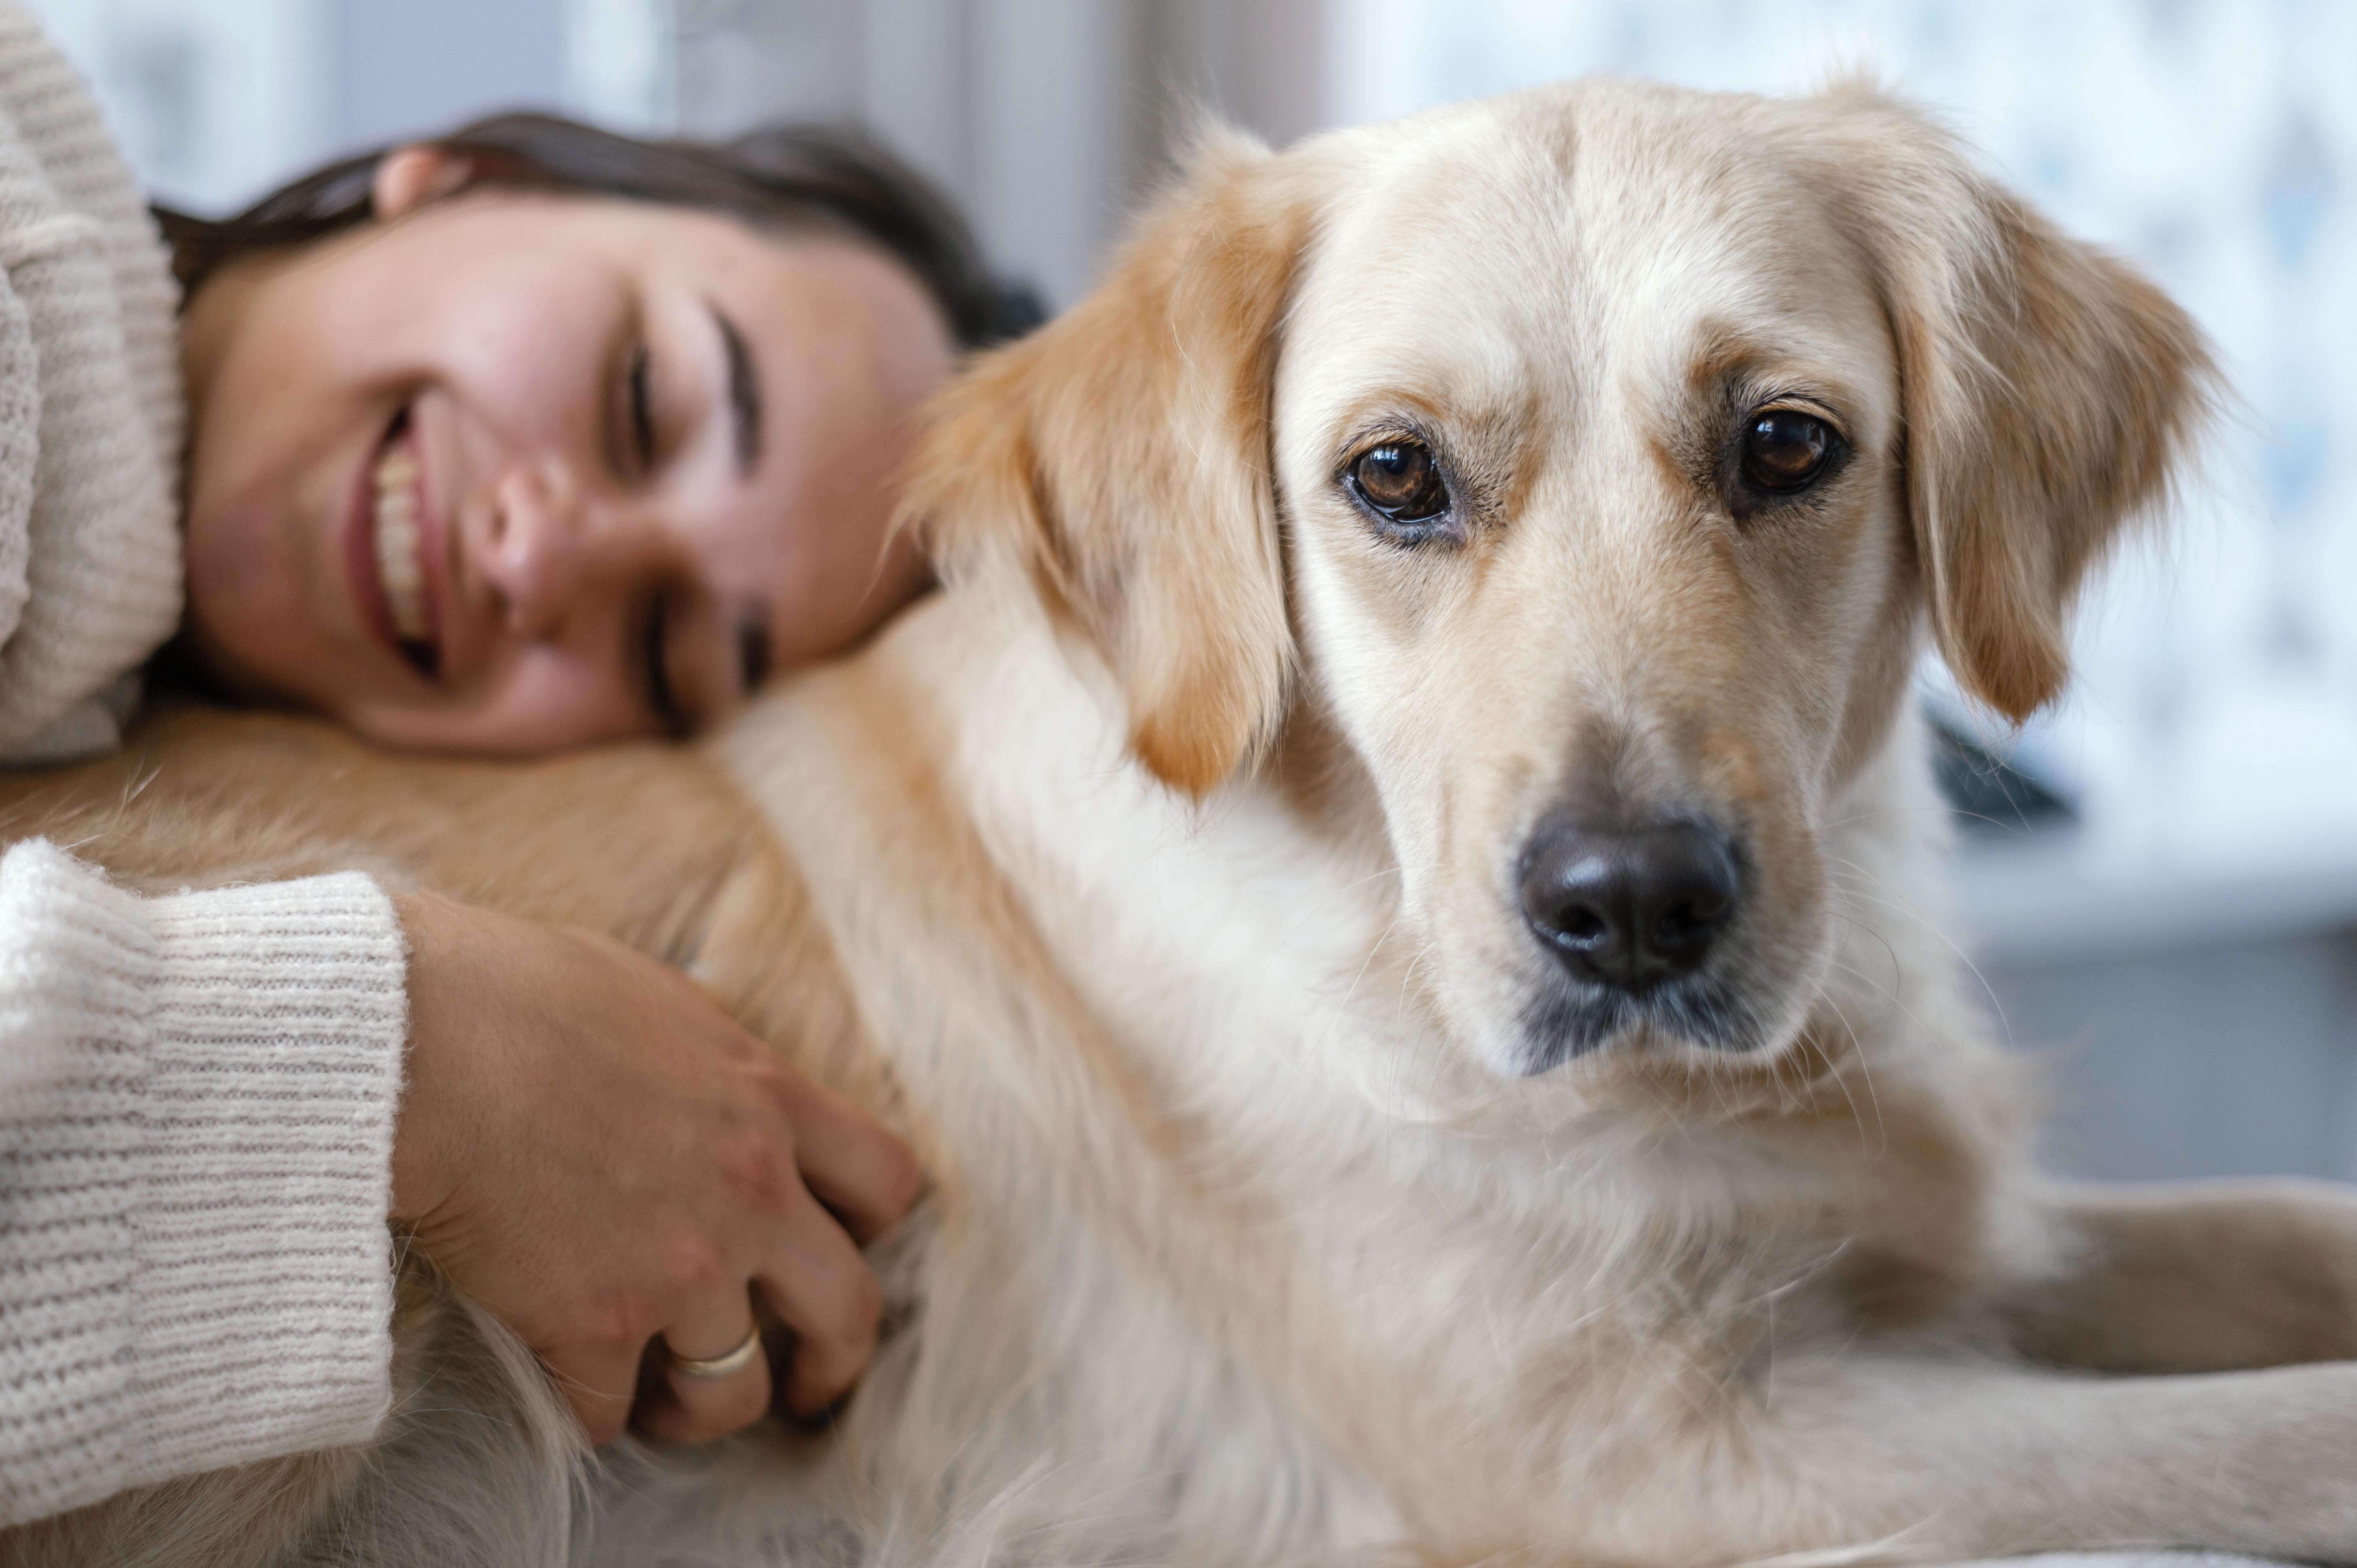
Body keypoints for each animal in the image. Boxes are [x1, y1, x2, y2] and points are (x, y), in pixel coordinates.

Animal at [18, 76, 2357, 1566]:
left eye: (1787, 443)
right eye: (1395, 476)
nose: (1632, 910)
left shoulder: (1954, 1250)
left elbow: (2285, 1226)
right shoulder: (1672, 1462)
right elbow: (2279, 1431)